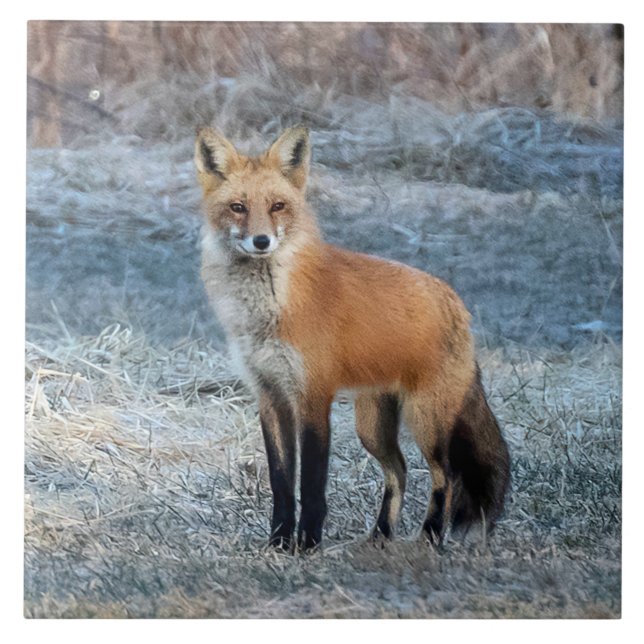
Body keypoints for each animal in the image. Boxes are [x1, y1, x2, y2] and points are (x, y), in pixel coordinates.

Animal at [194, 125, 510, 552]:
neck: (270, 308)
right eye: (238, 207)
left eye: (277, 206)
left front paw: (307, 544)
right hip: (372, 426)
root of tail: (455, 302)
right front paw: (278, 541)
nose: (262, 241)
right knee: (399, 471)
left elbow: (311, 484)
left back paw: (429, 539)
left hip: (426, 418)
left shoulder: (313, 396)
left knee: (445, 476)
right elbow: (281, 482)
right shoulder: (270, 396)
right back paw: (380, 536)